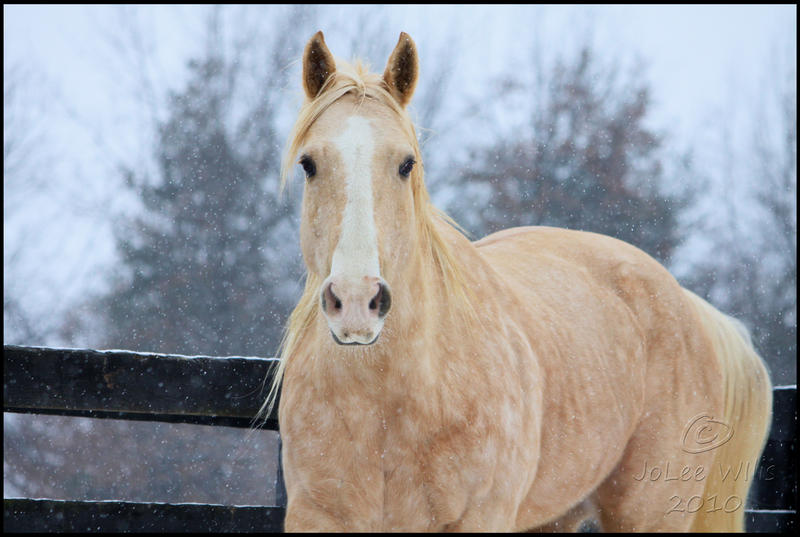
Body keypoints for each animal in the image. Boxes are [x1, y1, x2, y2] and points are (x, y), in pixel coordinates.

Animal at [266, 31, 772, 528]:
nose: (356, 301)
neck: (391, 406)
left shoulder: (482, 516)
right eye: (309, 164)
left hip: (650, 514)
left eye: (406, 163)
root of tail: (691, 306)